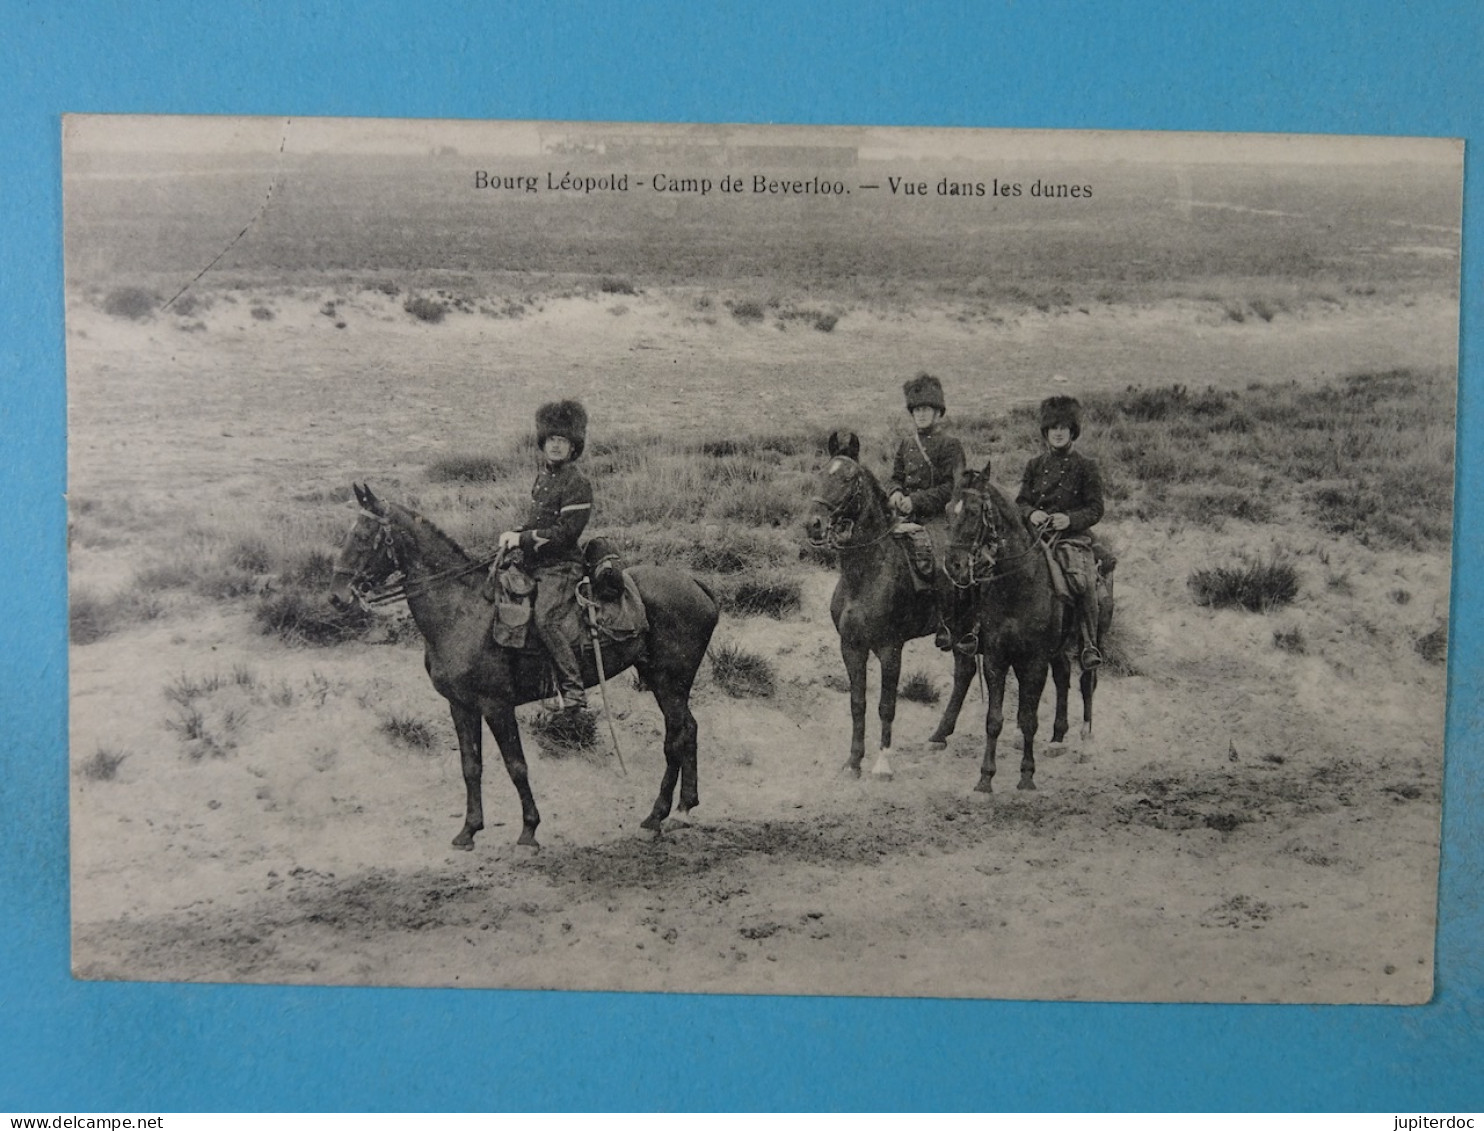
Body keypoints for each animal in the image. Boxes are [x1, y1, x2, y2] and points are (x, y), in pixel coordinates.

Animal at [329, 483, 718, 843]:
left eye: (363, 536)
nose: (336, 597)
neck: (463, 611)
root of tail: (695, 582)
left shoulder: (496, 706)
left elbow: (516, 766)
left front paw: (529, 829)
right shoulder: (460, 706)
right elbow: (471, 766)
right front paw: (469, 830)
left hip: (670, 681)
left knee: (676, 738)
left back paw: (661, 813)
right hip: (660, 678)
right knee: (689, 729)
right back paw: (682, 808)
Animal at [807, 430, 979, 777]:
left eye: (849, 478)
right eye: (820, 473)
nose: (814, 524)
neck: (866, 573)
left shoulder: (890, 649)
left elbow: (886, 706)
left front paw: (882, 762)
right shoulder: (851, 647)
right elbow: (857, 703)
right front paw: (853, 761)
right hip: (958, 629)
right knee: (965, 670)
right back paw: (939, 735)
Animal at [943, 463, 1110, 789]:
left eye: (973, 511)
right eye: (947, 509)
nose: (953, 566)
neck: (1018, 585)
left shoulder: (1034, 661)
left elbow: (1029, 718)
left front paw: (1026, 776)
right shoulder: (996, 658)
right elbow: (994, 720)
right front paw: (985, 778)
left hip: (1090, 639)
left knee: (1087, 682)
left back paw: (1085, 743)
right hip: (1058, 649)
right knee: (1063, 675)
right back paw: (1057, 738)